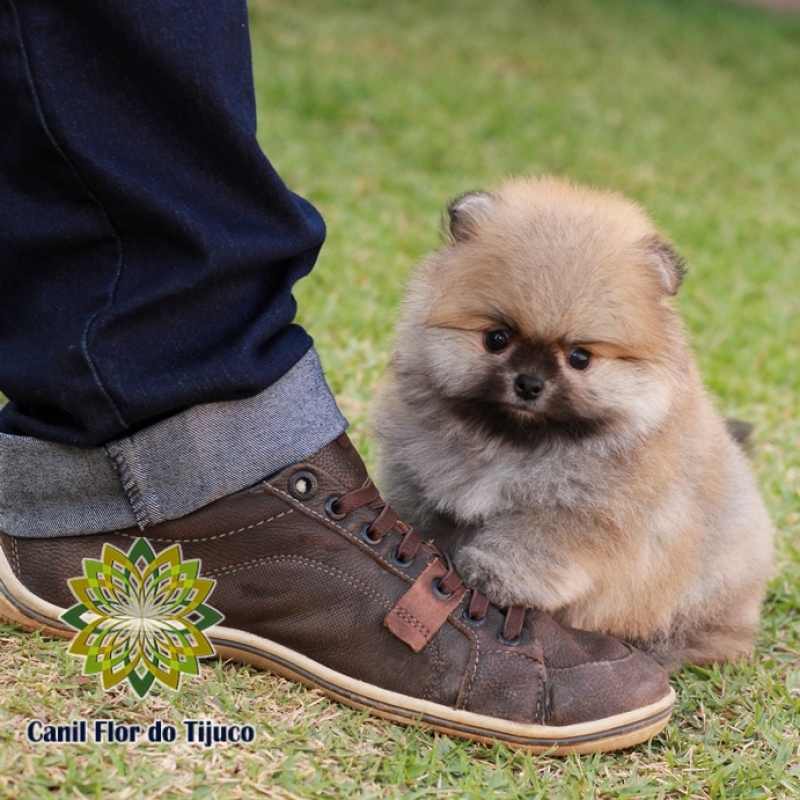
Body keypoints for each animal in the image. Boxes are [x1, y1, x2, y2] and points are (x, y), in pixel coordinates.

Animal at [376, 177, 776, 668]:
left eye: (580, 358)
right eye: (497, 339)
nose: (529, 383)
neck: (512, 444)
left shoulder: (579, 515)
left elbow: (530, 543)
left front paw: (489, 575)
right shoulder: (422, 482)